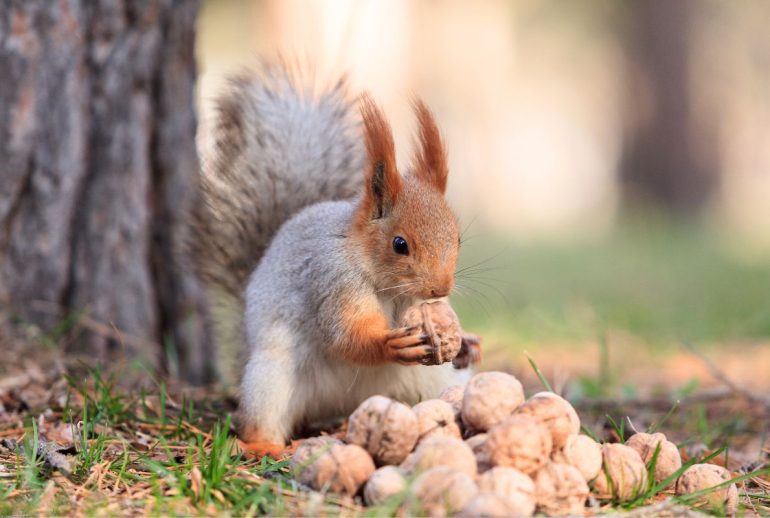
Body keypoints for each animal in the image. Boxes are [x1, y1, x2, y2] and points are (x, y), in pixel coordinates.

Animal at [191, 63, 480, 451]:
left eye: (458, 237)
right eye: (399, 244)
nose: (440, 289)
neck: (387, 285)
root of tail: (339, 406)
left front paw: (467, 342)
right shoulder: (333, 280)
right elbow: (346, 335)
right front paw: (389, 343)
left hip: (430, 381)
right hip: (273, 375)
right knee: (261, 418)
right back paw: (266, 445)